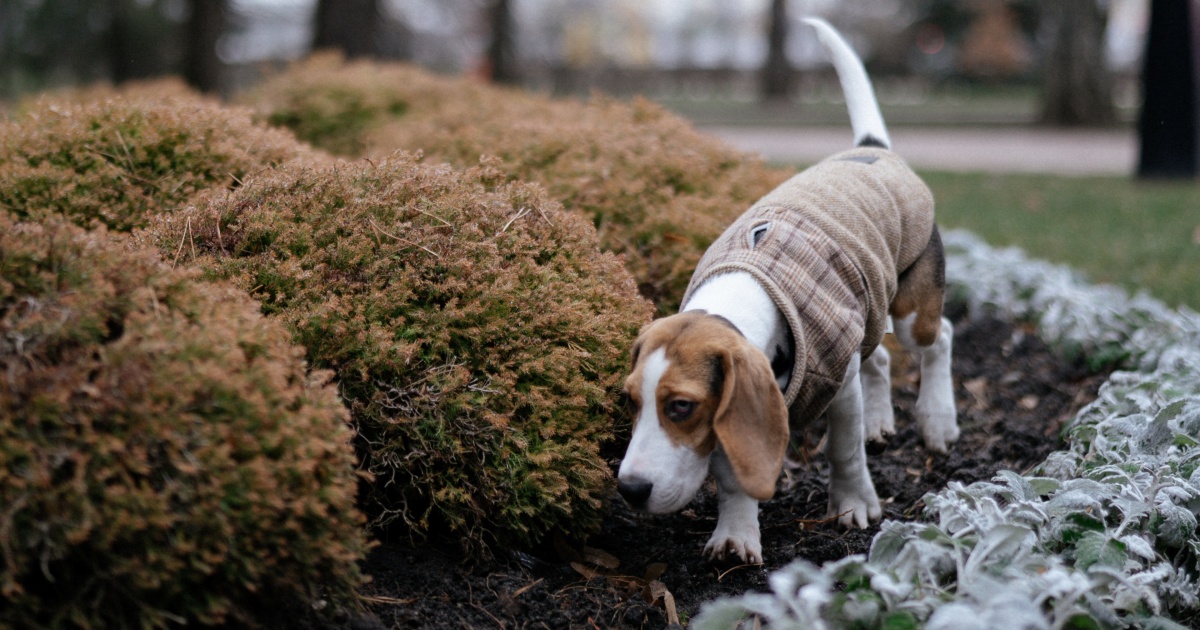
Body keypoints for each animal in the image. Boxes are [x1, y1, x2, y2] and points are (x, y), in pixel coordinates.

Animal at [614, 18, 960, 564]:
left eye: (681, 407)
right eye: (629, 400)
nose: (629, 490)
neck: (746, 292)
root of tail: (874, 149)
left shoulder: (836, 381)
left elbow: (843, 449)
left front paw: (853, 505)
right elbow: (734, 475)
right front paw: (736, 534)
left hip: (912, 309)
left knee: (937, 337)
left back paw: (937, 420)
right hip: (866, 313)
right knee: (880, 356)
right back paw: (881, 422)